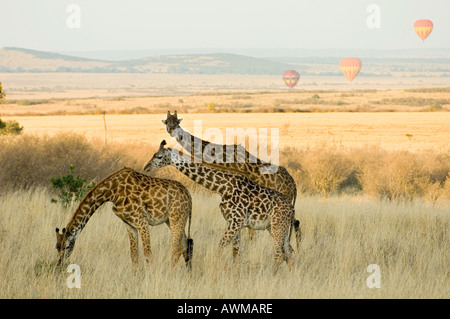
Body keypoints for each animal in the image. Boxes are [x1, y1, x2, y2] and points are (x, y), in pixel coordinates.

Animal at [55, 168, 193, 270]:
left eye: (67, 246)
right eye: (57, 247)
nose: (58, 265)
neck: (112, 192)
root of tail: (189, 196)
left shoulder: (142, 221)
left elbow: (148, 254)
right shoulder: (129, 224)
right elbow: (134, 255)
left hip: (176, 217)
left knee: (177, 249)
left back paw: (170, 273)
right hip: (172, 220)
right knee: (186, 244)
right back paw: (188, 275)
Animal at [144, 141, 296, 272]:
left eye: (159, 156)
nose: (146, 168)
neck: (221, 187)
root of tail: (291, 209)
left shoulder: (236, 222)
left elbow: (219, 249)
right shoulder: (234, 223)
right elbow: (236, 253)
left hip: (277, 226)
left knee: (280, 253)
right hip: (277, 227)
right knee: (289, 251)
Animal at [163, 111, 302, 249]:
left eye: (177, 123)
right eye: (166, 122)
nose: (171, 130)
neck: (222, 158)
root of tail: (294, 185)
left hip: (284, 199)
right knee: (296, 222)